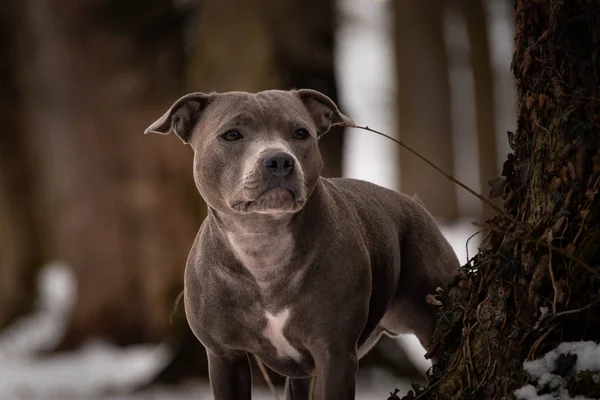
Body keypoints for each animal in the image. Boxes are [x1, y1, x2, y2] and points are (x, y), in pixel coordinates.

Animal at [145, 90, 460, 400]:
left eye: (300, 133)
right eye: (231, 135)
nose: (279, 160)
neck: (262, 245)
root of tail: (413, 203)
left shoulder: (334, 354)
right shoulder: (224, 356)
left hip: (433, 316)